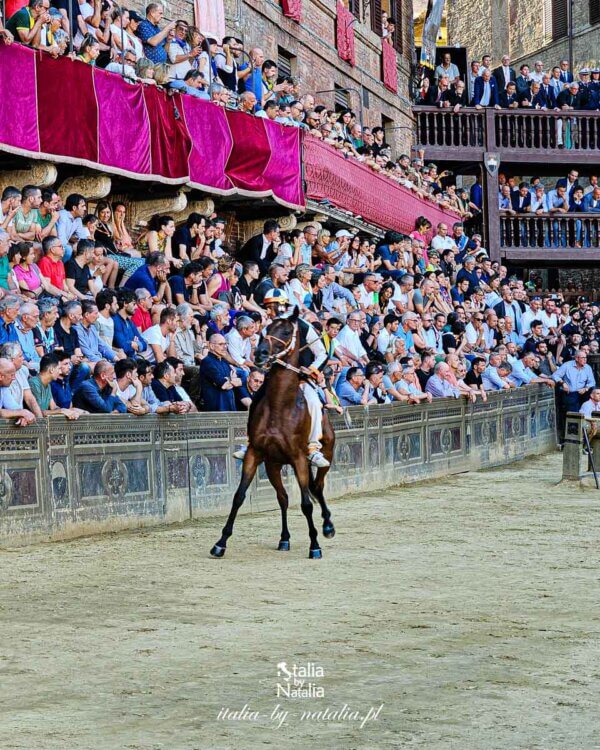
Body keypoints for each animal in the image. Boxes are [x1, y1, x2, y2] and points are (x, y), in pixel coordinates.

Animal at [210, 308, 332, 560]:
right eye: (263, 330)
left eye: (286, 331)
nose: (260, 353)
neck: (280, 407)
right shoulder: (255, 453)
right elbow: (239, 496)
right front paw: (221, 542)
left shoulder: (298, 458)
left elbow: (306, 504)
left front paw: (314, 545)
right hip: (273, 464)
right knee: (283, 498)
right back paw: (284, 539)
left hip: (327, 452)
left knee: (317, 486)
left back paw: (327, 526)